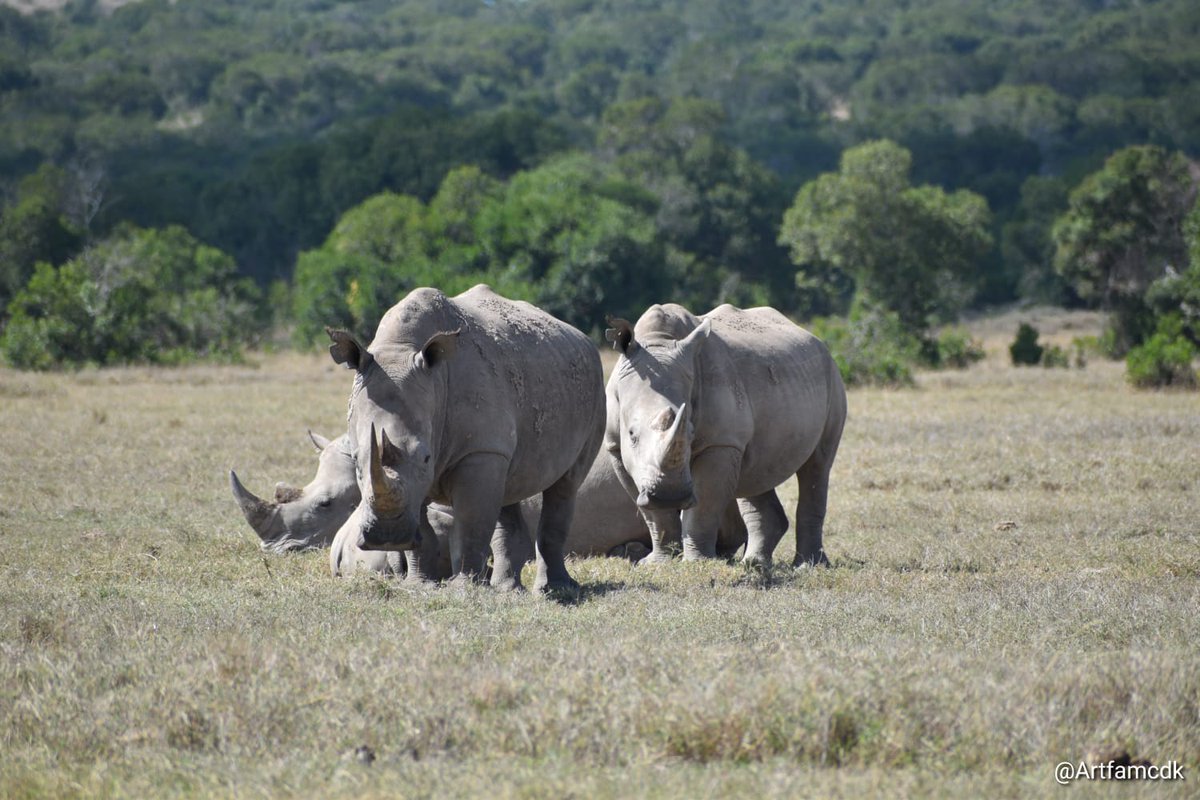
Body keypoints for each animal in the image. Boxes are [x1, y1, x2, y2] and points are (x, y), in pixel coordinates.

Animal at [328, 284, 606, 592]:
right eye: (356, 461)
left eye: (426, 458)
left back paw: (555, 590)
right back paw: (507, 590)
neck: (400, 351)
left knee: (565, 485)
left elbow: (471, 522)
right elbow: (423, 528)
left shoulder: (477, 451)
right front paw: (419, 585)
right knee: (508, 487)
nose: (387, 536)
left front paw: (463, 589)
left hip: (594, 388)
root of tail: (583, 338)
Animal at [604, 303, 846, 567]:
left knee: (817, 465)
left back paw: (808, 566)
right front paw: (658, 563)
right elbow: (653, 514)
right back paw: (754, 563)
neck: (659, 342)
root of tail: (815, 339)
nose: (670, 496)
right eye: (632, 435)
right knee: (756, 475)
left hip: (831, 377)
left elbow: (704, 504)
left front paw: (696, 562)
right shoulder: (615, 447)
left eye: (690, 432)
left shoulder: (720, 442)